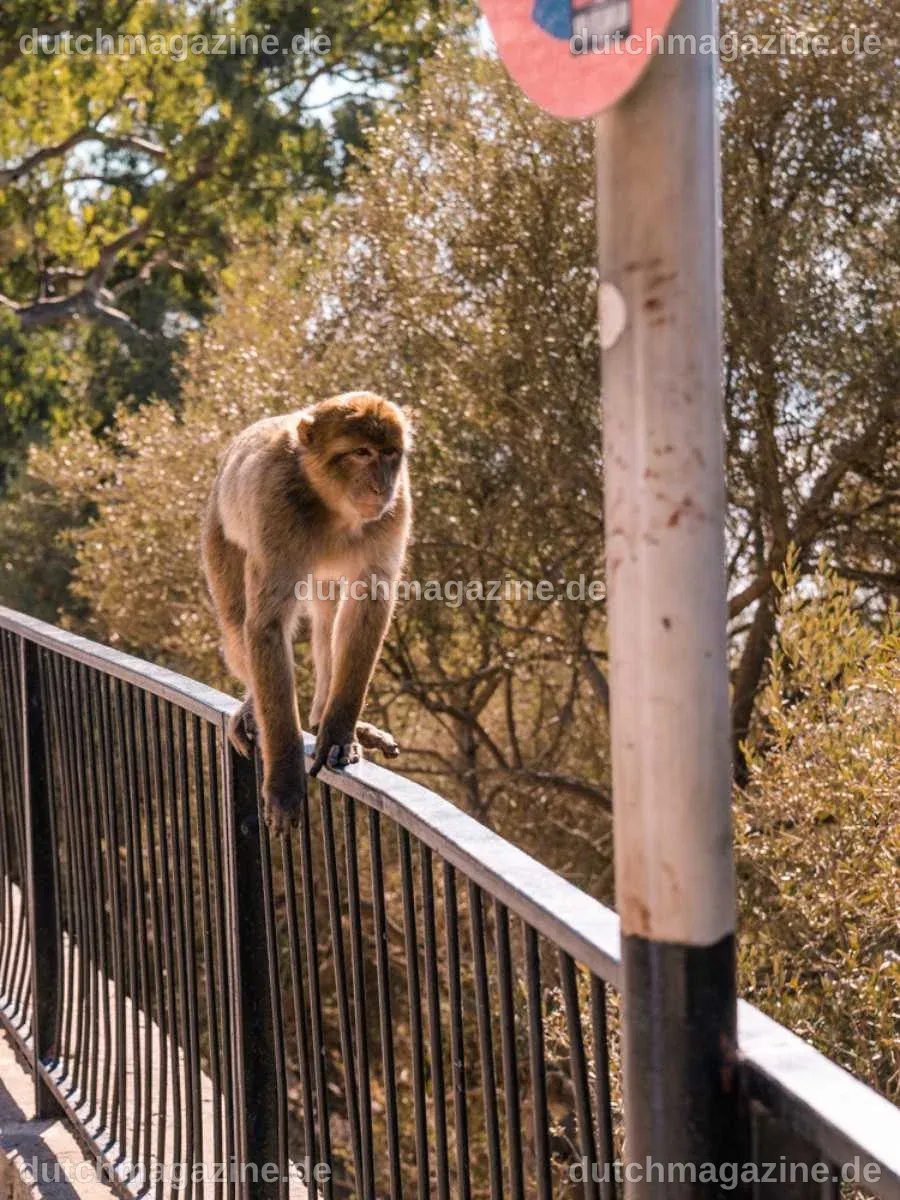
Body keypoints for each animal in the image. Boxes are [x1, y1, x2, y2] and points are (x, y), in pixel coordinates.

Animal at [201, 391, 412, 833]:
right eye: (361, 452)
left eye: (389, 453)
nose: (381, 485)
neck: (333, 504)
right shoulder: (274, 508)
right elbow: (266, 626)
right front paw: (283, 775)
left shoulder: (395, 509)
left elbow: (368, 604)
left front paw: (339, 731)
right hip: (218, 534)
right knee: (237, 622)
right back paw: (254, 709)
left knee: (330, 617)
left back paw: (320, 717)